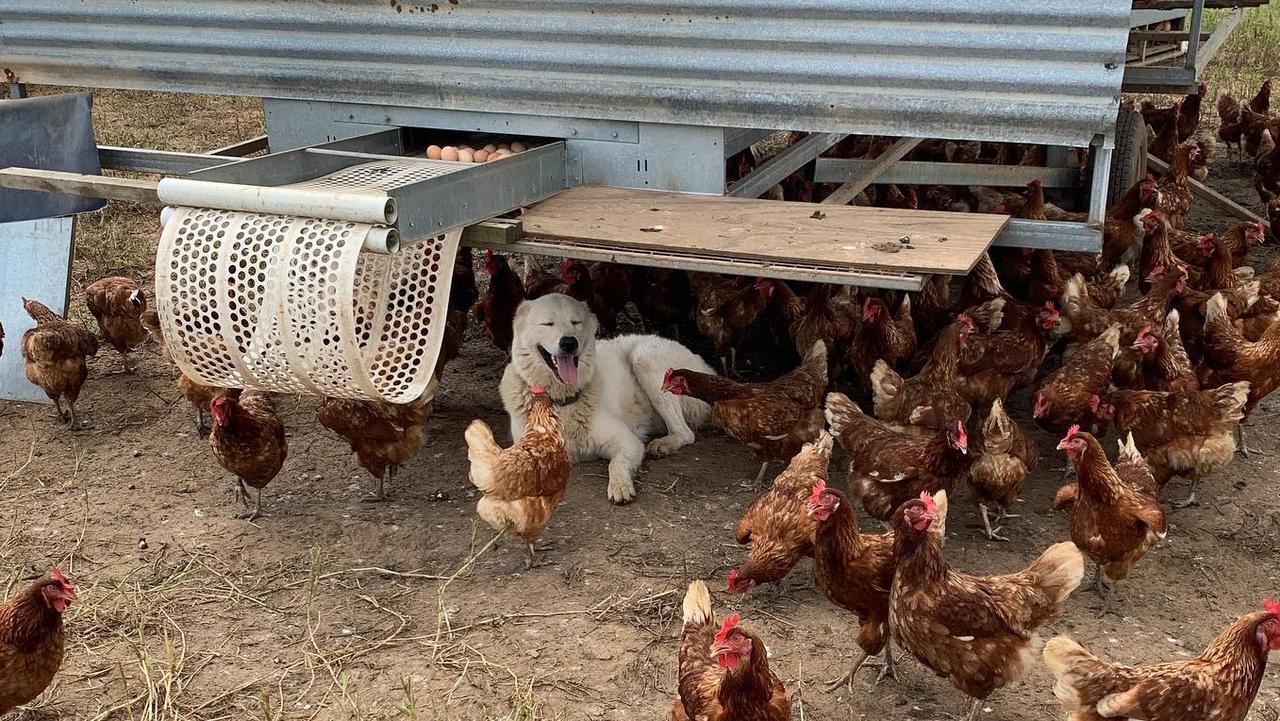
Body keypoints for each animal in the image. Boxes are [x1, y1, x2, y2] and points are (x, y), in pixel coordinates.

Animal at [499, 293, 716, 502]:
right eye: (548, 323)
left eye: (576, 322)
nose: (569, 343)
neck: (560, 401)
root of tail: (707, 367)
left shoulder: (629, 442)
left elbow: (616, 463)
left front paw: (620, 486)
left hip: (643, 358)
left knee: (686, 432)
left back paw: (663, 445)